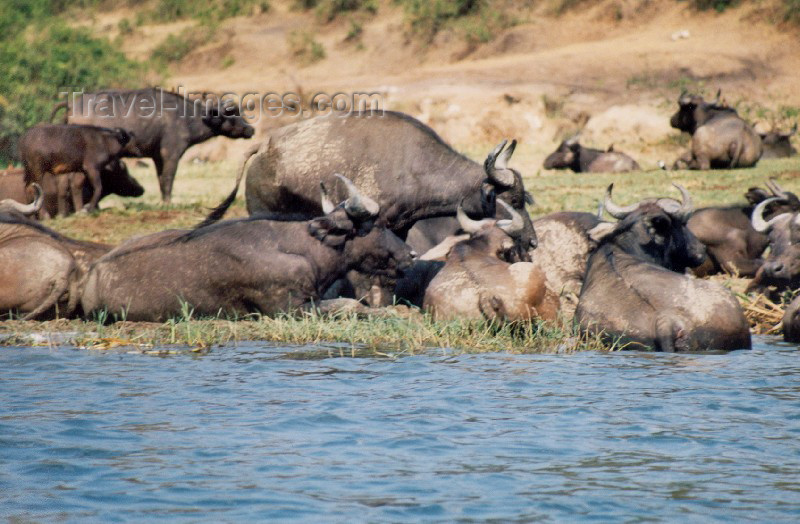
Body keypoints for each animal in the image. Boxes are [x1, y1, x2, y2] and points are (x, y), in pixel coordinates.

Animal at [54, 88, 255, 203]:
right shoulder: (171, 154)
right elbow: (168, 179)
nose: (250, 129)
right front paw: (168, 204)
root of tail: (72, 104)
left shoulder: (158, 157)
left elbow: (160, 180)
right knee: (76, 182)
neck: (188, 117)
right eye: (231, 113)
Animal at [82, 176, 416, 324]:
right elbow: (350, 305)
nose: (411, 255)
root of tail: (93, 275)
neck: (304, 249)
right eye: (378, 224)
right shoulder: (289, 309)